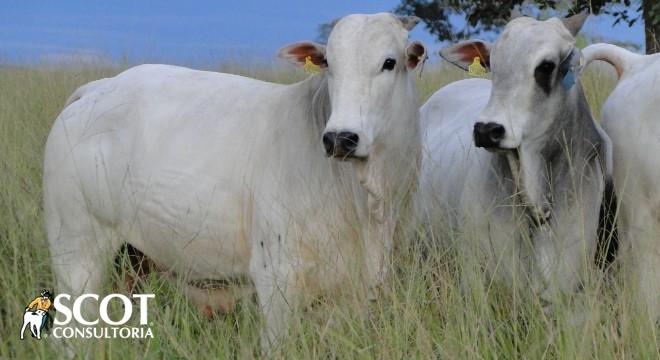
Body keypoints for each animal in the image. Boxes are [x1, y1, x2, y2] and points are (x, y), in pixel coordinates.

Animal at [43, 12, 428, 348]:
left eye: (389, 62)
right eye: (329, 65)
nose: (340, 138)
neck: (368, 201)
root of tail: (98, 89)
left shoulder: (354, 294)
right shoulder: (276, 281)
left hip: (132, 260)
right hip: (77, 253)